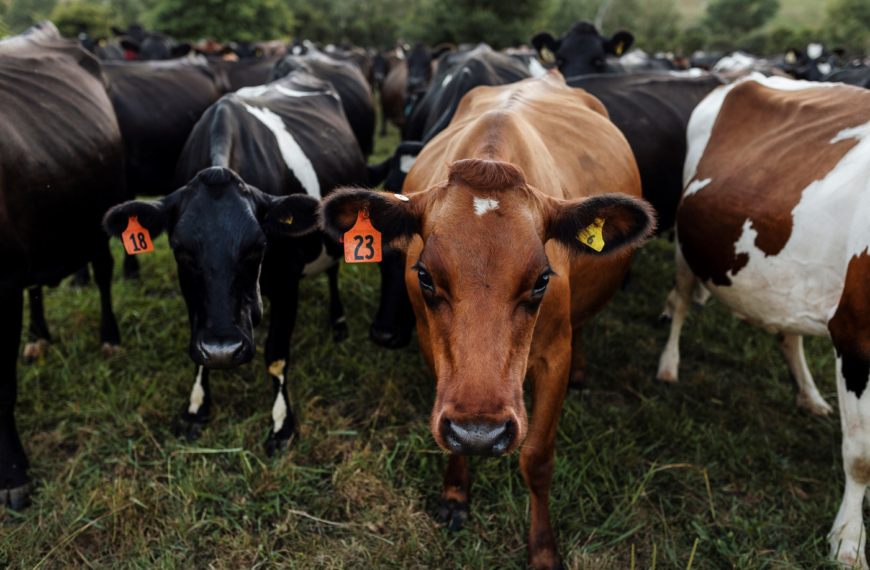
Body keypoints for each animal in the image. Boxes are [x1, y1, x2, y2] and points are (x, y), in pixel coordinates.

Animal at [102, 70, 368, 452]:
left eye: (259, 246)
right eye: (179, 249)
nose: (224, 349)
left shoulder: (287, 282)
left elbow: (275, 354)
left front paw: (282, 424)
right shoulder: (195, 301)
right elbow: (198, 349)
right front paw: (197, 407)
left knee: (332, 272)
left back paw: (339, 323)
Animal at [320, 72, 656, 568]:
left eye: (542, 279)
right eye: (424, 275)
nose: (480, 432)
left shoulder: (553, 354)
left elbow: (537, 456)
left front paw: (543, 549)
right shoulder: (432, 349)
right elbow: (447, 435)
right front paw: (455, 493)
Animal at [656, 73, 870, 564]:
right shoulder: (856, 338)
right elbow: (861, 457)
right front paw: (847, 543)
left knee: (788, 334)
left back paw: (809, 395)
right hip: (685, 242)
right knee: (679, 301)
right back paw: (668, 366)